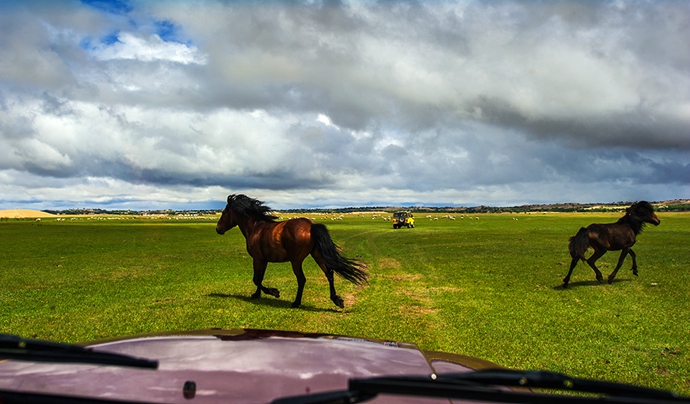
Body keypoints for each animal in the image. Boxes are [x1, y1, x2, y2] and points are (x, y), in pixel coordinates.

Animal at [214, 194, 366, 308]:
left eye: (224, 212)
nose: (218, 229)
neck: (255, 228)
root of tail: (311, 225)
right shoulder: (263, 260)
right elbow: (260, 277)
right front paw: (257, 295)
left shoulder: (257, 259)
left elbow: (256, 279)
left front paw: (274, 292)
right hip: (317, 254)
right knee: (329, 273)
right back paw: (337, 300)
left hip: (296, 261)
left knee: (302, 279)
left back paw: (296, 303)